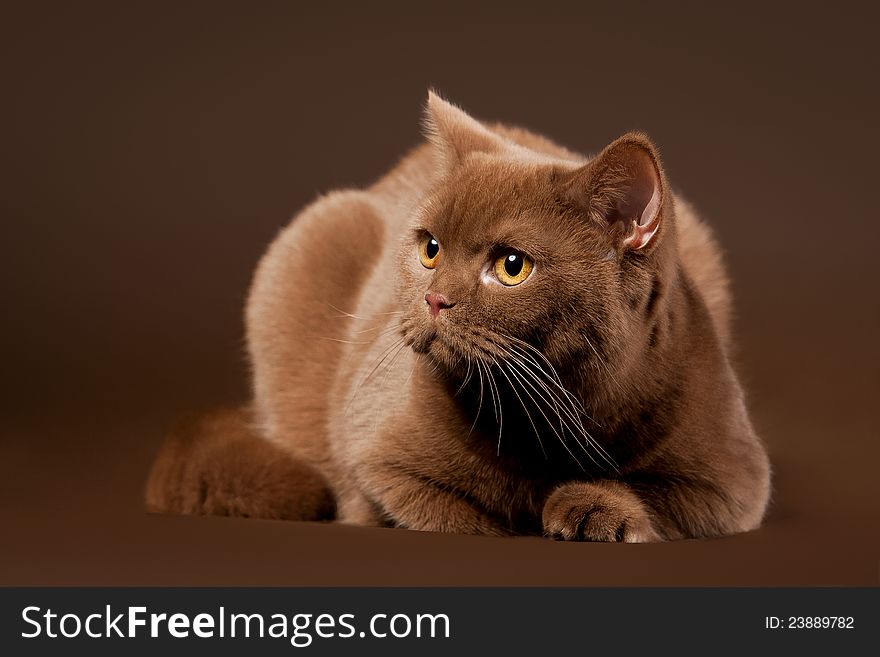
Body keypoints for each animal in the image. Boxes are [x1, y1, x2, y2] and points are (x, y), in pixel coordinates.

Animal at [144, 93, 768, 544]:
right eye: (430, 249)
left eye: (512, 266)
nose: (435, 298)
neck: (548, 417)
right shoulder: (376, 453)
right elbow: (439, 512)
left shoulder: (733, 478)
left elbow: (663, 497)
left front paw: (594, 510)